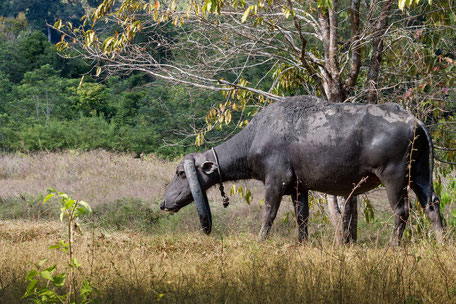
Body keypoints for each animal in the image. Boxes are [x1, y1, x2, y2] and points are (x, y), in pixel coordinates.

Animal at [160, 96, 442, 243]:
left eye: (180, 173)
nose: (164, 202)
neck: (256, 136)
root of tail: (414, 121)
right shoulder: (299, 189)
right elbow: (302, 218)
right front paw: (302, 243)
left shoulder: (276, 181)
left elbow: (269, 214)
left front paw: (260, 241)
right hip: (420, 176)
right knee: (431, 205)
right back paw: (442, 241)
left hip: (395, 178)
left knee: (402, 210)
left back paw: (394, 245)